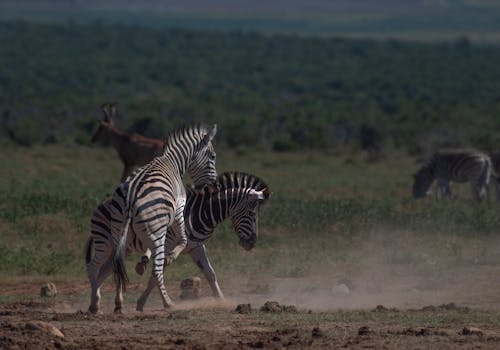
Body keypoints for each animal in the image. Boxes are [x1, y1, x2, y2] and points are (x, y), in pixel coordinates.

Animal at [88, 171, 272, 314]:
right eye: (251, 214)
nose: (251, 243)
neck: (198, 213)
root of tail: (105, 202)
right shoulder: (166, 245)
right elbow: (155, 275)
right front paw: (143, 303)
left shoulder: (196, 247)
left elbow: (210, 273)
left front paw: (222, 301)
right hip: (104, 241)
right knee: (94, 266)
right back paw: (96, 303)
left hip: (122, 247)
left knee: (108, 269)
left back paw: (104, 304)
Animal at [100, 124, 218, 314]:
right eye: (213, 156)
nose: (213, 186)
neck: (174, 163)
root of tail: (130, 196)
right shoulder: (179, 210)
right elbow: (183, 239)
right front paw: (171, 256)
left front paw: (143, 261)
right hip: (155, 234)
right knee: (156, 271)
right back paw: (168, 302)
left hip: (119, 233)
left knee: (117, 265)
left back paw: (118, 304)